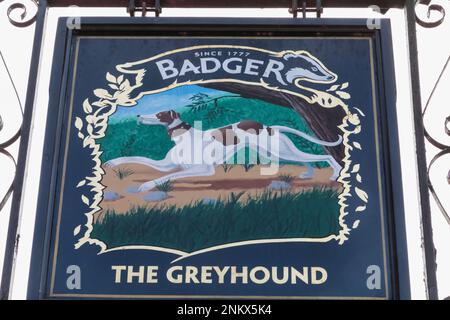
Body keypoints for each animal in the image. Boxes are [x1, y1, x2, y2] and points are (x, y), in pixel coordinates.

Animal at [104, 109, 342, 192]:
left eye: (159, 114)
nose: (138, 115)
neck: (183, 137)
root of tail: (269, 126)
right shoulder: (165, 164)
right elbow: (136, 157)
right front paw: (113, 162)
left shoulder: (202, 170)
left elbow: (170, 176)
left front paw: (146, 185)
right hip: (279, 152)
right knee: (307, 160)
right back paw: (308, 174)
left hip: (282, 151)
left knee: (323, 155)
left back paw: (336, 174)